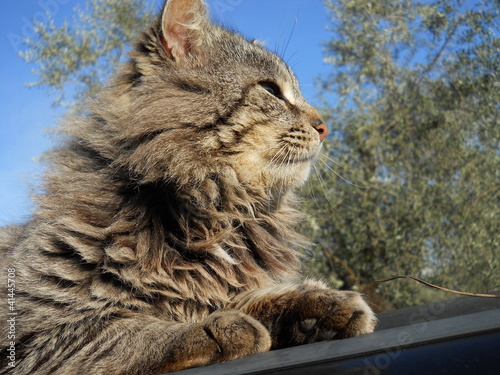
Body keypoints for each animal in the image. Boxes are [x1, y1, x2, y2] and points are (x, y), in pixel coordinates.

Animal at [0, 0, 376, 375]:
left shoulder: (223, 289)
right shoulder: (37, 334)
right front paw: (220, 329)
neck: (210, 212)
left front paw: (322, 306)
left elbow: (256, 298)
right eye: (271, 90)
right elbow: (128, 332)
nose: (324, 127)